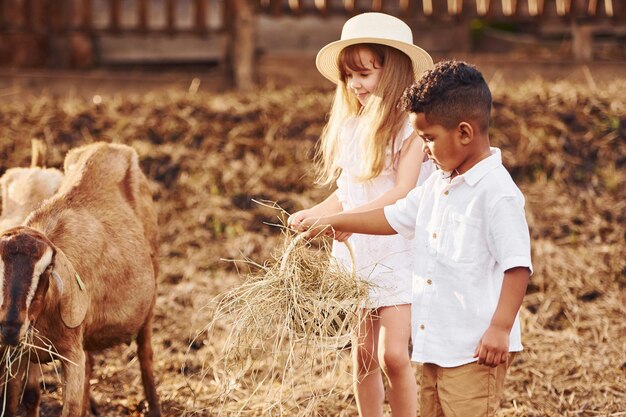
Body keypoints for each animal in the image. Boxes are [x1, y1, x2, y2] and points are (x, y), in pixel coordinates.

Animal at [0, 141, 161, 414]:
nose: (10, 327)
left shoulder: (72, 355)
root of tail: (108, 147)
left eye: (47, 270)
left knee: (146, 355)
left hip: (151, 297)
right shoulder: (18, 355)